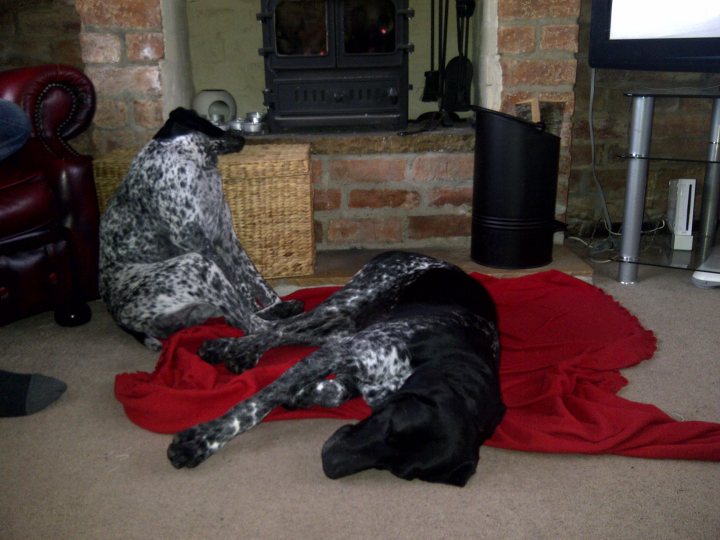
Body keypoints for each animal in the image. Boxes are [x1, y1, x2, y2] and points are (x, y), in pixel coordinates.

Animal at [98, 107, 300, 350]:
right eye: (211, 121)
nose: (243, 136)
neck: (195, 163)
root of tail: (118, 318)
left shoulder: (226, 238)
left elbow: (257, 282)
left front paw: (276, 301)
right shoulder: (197, 241)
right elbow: (242, 286)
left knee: (242, 318)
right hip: (195, 265)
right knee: (255, 326)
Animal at [168, 251, 506, 488]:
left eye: (399, 471)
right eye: (390, 427)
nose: (329, 463)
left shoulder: (349, 364)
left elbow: (331, 392)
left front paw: (301, 395)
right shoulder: (343, 352)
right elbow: (258, 403)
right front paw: (201, 442)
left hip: (344, 325)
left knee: (288, 332)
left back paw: (234, 350)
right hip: (345, 304)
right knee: (276, 327)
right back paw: (229, 347)